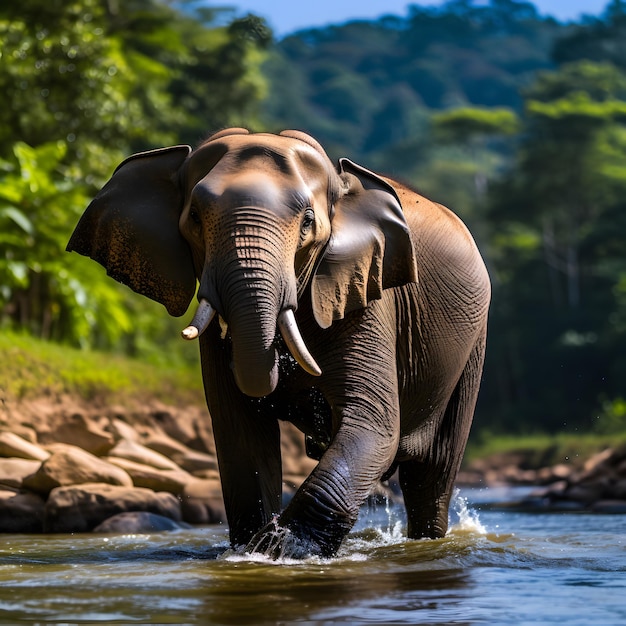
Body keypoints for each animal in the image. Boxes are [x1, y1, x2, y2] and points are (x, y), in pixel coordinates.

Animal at [67, 129, 488, 560]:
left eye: (308, 223)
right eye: (195, 218)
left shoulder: (368, 296)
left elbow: (373, 424)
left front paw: (286, 549)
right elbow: (240, 432)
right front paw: (256, 548)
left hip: (474, 342)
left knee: (432, 473)